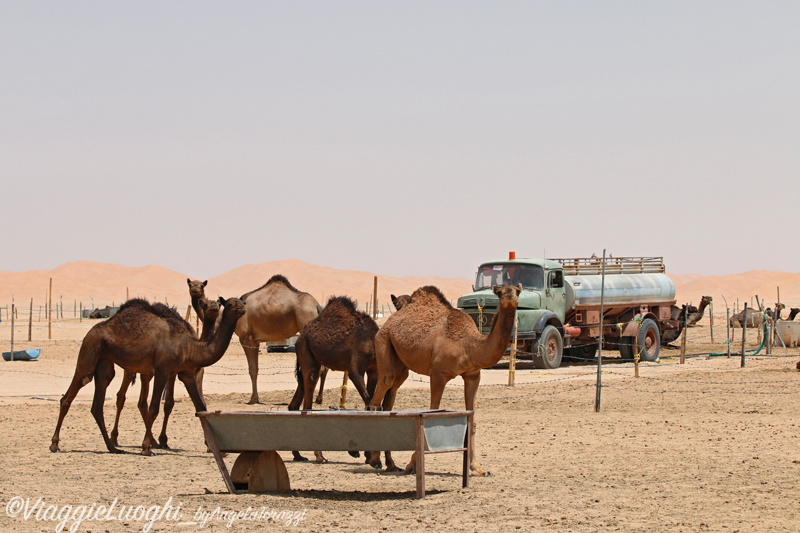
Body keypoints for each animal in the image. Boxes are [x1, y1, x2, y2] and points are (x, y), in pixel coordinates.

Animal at [50, 296, 244, 454]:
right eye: (230, 303)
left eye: (239, 301)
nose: (243, 306)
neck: (188, 346)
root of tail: (93, 330)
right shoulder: (162, 370)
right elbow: (154, 408)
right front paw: (146, 448)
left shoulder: (186, 374)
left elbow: (200, 407)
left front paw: (214, 448)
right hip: (90, 349)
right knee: (73, 391)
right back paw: (55, 444)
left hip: (105, 361)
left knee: (98, 403)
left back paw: (113, 447)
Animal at [236, 274, 324, 404]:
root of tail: (316, 305)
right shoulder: (254, 341)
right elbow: (255, 369)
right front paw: (255, 398)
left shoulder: (246, 339)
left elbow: (252, 369)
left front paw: (253, 399)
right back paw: (318, 398)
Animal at [368, 282, 520, 474]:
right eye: (500, 292)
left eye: (518, 290)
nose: (511, 297)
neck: (469, 345)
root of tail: (388, 321)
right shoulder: (438, 374)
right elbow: (431, 413)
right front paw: (412, 464)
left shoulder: (473, 375)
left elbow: (472, 420)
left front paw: (477, 468)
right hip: (383, 339)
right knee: (383, 385)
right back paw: (374, 460)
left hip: (401, 362)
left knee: (392, 391)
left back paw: (390, 464)